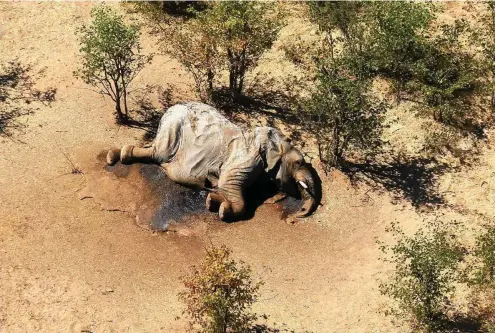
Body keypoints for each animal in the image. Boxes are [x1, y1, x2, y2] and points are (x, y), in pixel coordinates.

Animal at [106, 101, 320, 220]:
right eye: (298, 162)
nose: (297, 215)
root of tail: (171, 107)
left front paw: (212, 200)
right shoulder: (247, 157)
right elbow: (229, 184)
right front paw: (220, 208)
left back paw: (115, 155)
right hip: (173, 127)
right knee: (158, 153)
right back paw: (115, 157)